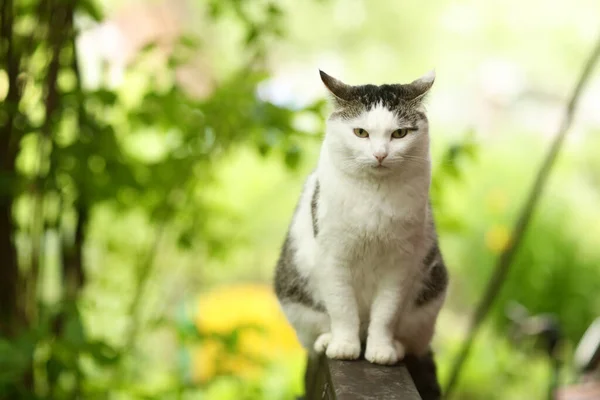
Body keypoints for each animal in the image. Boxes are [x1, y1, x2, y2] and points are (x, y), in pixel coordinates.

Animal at [274, 70, 448, 368]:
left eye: (399, 133)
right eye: (361, 132)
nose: (380, 154)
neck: (373, 197)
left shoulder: (399, 264)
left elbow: (385, 314)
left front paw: (381, 350)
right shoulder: (334, 258)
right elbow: (343, 309)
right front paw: (344, 346)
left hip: (428, 302)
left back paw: (396, 346)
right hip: (296, 299)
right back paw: (327, 341)